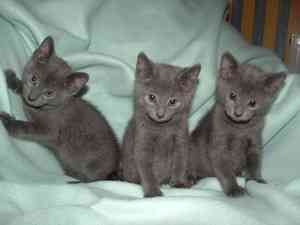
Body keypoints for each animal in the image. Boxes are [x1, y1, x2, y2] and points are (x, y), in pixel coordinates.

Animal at [0, 36, 119, 182]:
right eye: (34, 79)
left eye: (49, 93)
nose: (32, 98)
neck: (44, 108)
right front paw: (12, 79)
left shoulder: (51, 130)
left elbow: (27, 128)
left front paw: (6, 121)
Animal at [120, 52, 200, 197]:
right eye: (152, 97)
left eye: (173, 101)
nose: (160, 114)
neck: (163, 128)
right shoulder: (142, 138)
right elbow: (146, 167)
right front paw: (153, 191)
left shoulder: (181, 138)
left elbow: (180, 161)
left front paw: (179, 183)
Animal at [189, 52, 288, 197]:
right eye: (232, 95)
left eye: (252, 103)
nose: (238, 113)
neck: (239, 128)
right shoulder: (218, 142)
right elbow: (224, 167)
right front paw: (234, 189)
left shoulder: (255, 140)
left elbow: (255, 162)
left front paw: (256, 180)